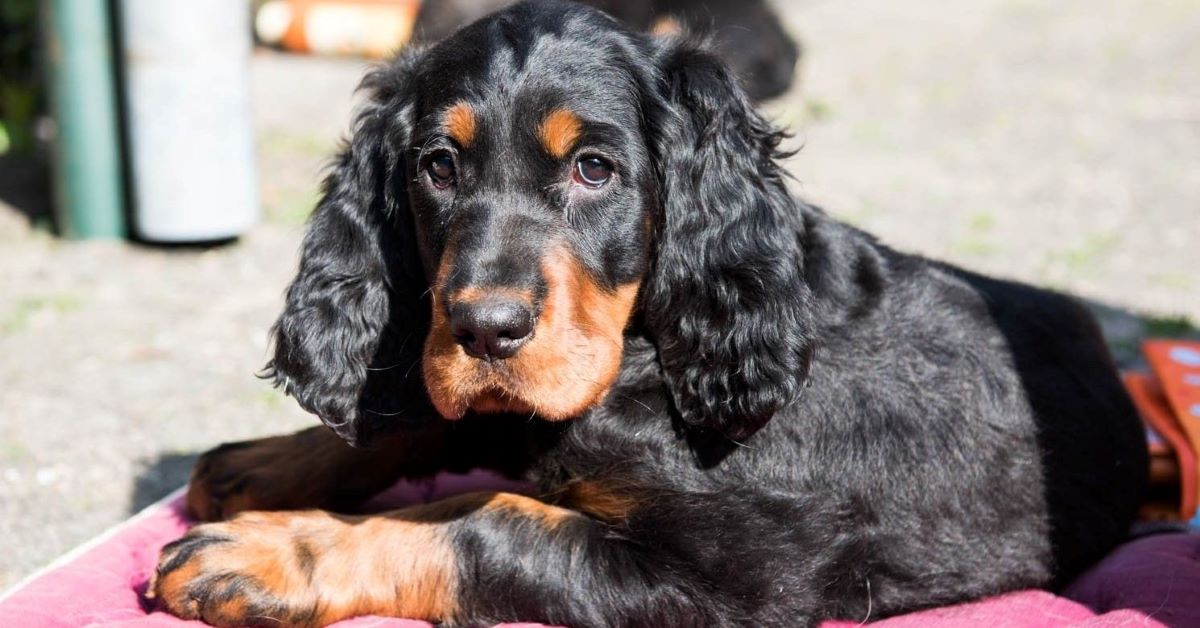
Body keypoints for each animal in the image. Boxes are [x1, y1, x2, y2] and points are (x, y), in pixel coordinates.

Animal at [150, 2, 1142, 624]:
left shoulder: (731, 580)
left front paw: (271, 553)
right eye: (438, 166)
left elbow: (481, 518)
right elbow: (434, 416)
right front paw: (266, 465)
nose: (486, 330)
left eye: (594, 169)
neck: (650, 353)